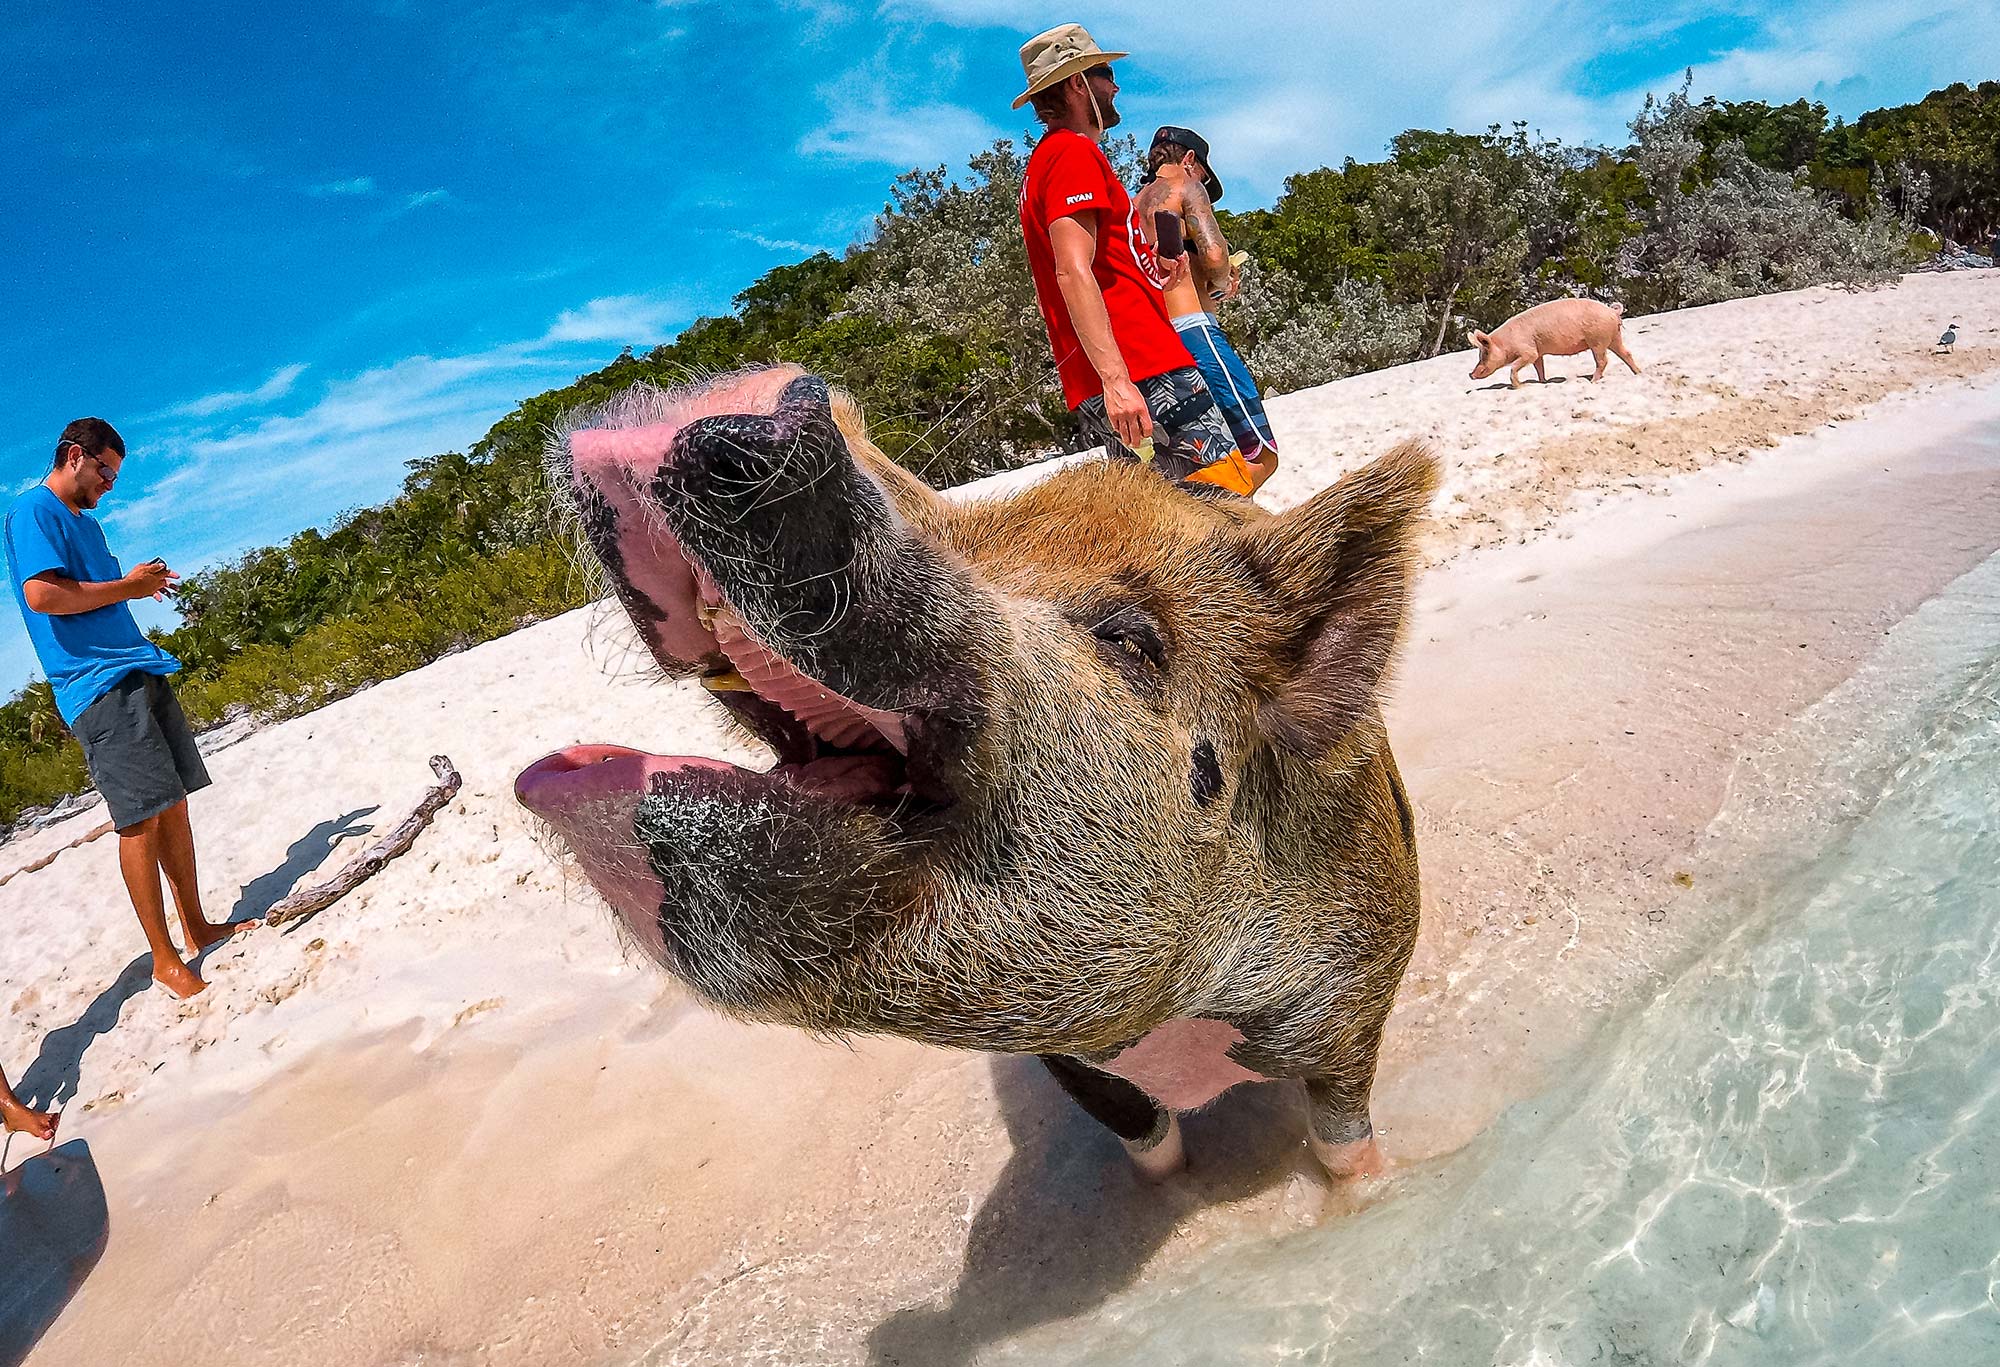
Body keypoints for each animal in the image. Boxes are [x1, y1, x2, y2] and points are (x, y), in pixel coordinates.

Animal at [516, 365, 1440, 1183]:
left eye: (1128, 638)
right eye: (960, 540)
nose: (751, 391)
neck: (1185, 1021)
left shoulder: (1361, 991)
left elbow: (1343, 1142)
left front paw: (1363, 1192)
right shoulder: (1069, 1064)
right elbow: (1152, 1150)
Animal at [1472, 295, 1640, 387]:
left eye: (1484, 353)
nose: (1470, 374)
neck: (1506, 343)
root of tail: (1612, 311)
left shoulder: (1529, 351)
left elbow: (1514, 366)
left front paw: (1520, 387)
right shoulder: (1538, 352)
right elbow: (1539, 367)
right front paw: (1543, 382)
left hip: (1597, 340)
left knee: (1603, 360)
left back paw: (1592, 381)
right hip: (1613, 337)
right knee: (1626, 353)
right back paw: (1638, 373)